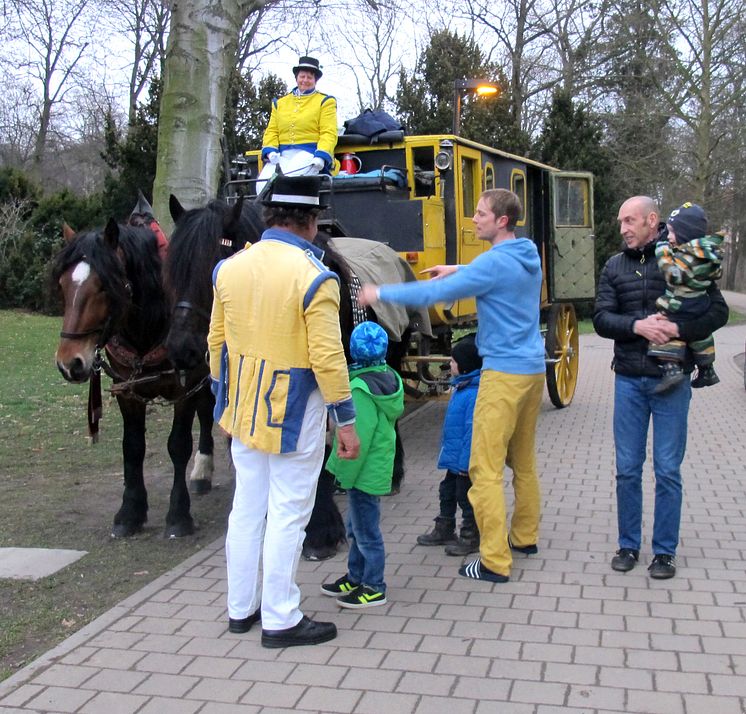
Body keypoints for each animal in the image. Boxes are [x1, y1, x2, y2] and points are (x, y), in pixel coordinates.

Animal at [51, 220, 215, 536]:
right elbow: (133, 446)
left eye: (105, 286)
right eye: (63, 285)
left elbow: (178, 444)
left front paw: (178, 514)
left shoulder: (186, 385)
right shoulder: (127, 391)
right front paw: (130, 511)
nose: (70, 363)